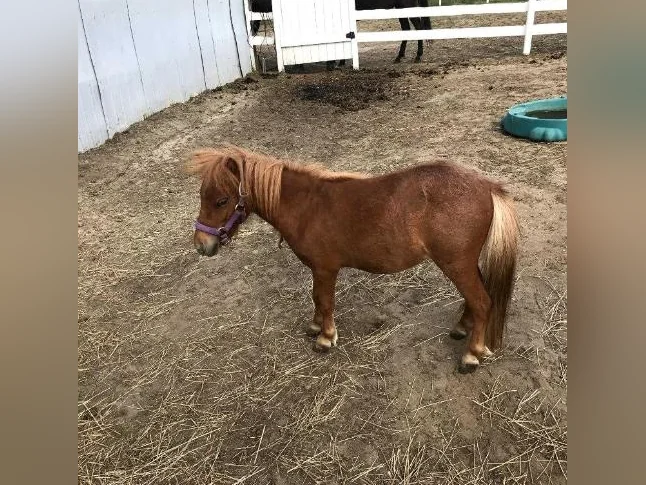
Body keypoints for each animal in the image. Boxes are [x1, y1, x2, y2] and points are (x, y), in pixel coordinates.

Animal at [187, 146, 519, 374]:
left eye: (221, 200)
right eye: (202, 196)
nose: (202, 245)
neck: (307, 206)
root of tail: (487, 187)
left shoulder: (325, 269)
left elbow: (324, 300)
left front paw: (325, 337)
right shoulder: (319, 270)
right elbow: (316, 299)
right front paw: (315, 326)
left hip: (456, 264)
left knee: (482, 302)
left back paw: (472, 355)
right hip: (465, 264)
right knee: (476, 298)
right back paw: (462, 329)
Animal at [250, 0, 433, 65]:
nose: (251, 31)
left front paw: (335, 63)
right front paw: (341, 62)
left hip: (406, 6)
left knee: (418, 28)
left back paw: (417, 56)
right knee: (407, 30)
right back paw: (399, 56)